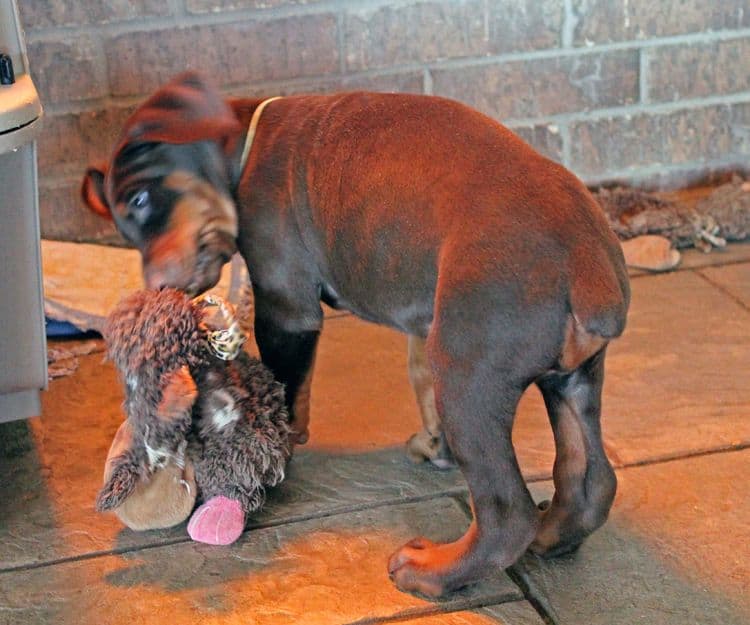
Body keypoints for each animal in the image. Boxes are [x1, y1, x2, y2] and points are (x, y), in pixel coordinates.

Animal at [82, 70, 632, 596]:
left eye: (140, 198)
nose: (161, 287)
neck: (243, 151)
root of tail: (590, 273)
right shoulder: (423, 314)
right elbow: (414, 375)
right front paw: (433, 445)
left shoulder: (286, 305)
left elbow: (286, 387)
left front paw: (277, 453)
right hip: (571, 380)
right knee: (590, 479)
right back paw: (552, 535)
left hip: (468, 375)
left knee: (505, 514)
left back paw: (432, 572)